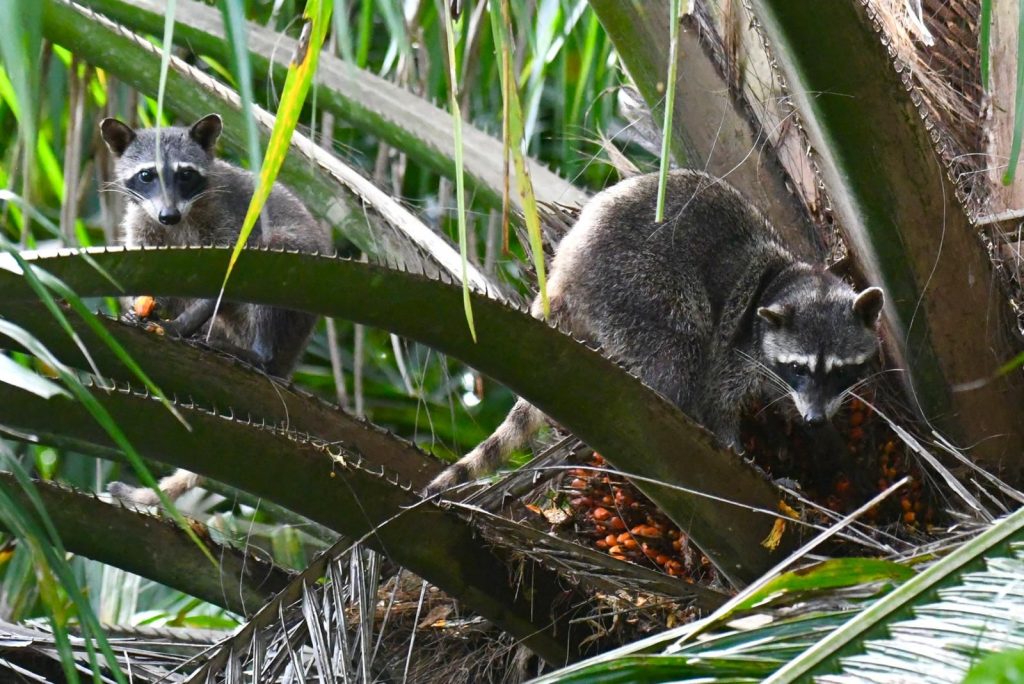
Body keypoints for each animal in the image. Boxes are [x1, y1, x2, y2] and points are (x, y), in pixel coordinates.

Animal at [101, 112, 329, 505]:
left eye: (185, 174)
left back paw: (256, 355)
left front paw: (176, 326)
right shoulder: (143, 222)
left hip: (294, 286)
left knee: (272, 257)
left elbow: (226, 278)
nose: (169, 215)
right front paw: (147, 309)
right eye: (147, 175)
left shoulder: (229, 218)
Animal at [423, 167, 880, 493]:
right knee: (679, 348)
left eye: (840, 370)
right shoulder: (738, 347)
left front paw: (821, 436)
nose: (815, 419)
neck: (784, 280)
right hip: (635, 285)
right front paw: (742, 454)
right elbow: (716, 398)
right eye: (800, 367)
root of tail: (565, 269)